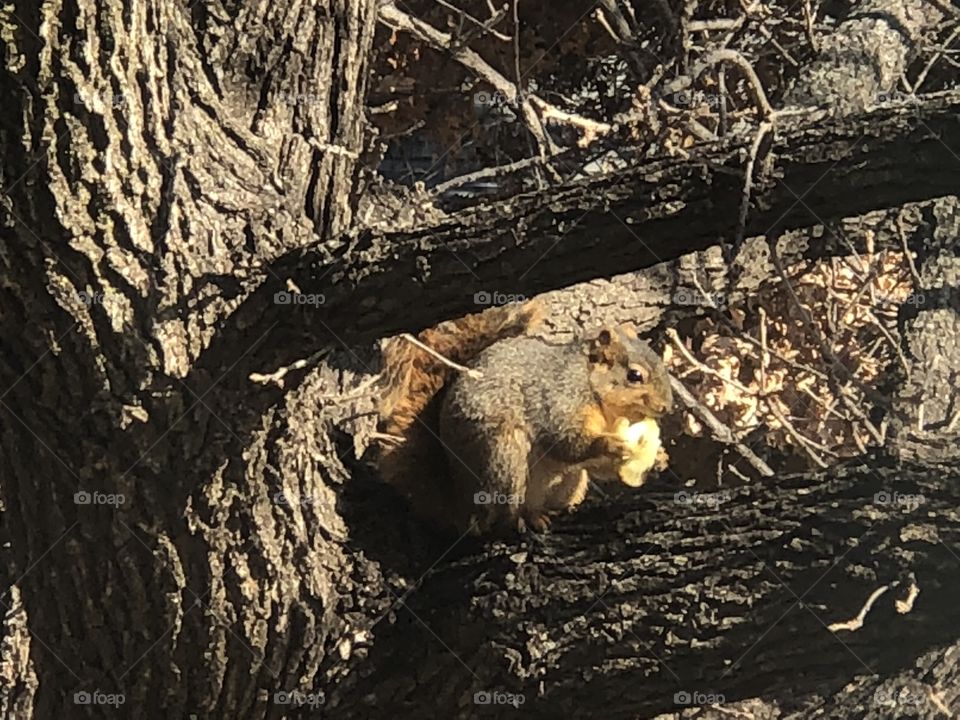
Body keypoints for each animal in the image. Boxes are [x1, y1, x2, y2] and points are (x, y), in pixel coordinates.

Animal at [372, 298, 672, 536]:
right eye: (635, 375)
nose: (666, 408)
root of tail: (460, 500)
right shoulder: (559, 399)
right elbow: (567, 442)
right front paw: (610, 443)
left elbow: (595, 465)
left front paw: (658, 458)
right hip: (505, 457)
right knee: (500, 518)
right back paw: (524, 520)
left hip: (571, 482)